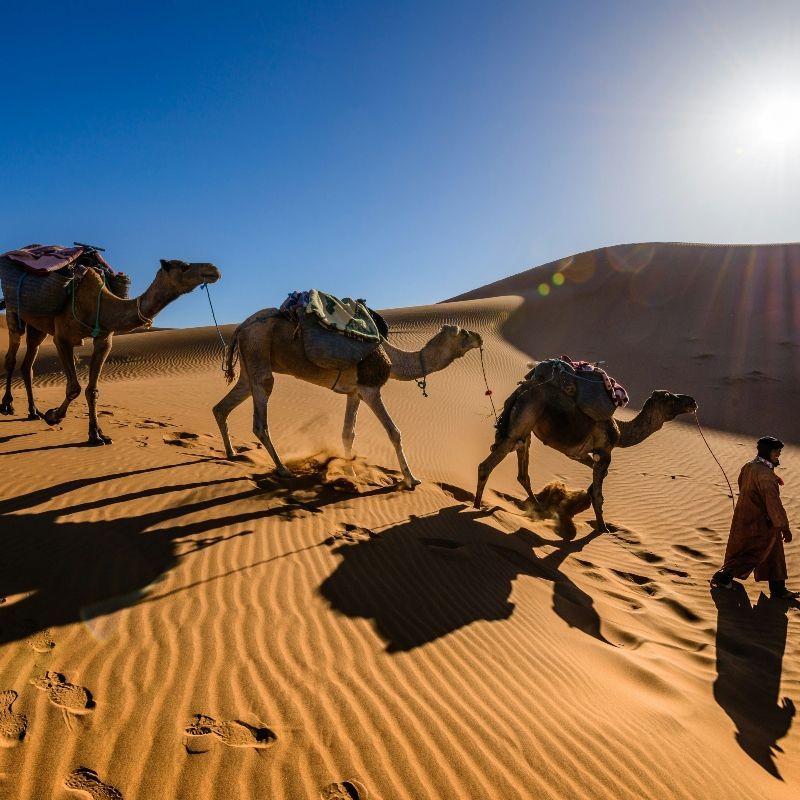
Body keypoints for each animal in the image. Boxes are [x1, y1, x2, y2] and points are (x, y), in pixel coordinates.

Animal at [1, 259, 221, 444]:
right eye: (184, 266)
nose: (213, 269)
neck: (98, 304)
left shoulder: (104, 339)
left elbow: (92, 390)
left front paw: (96, 435)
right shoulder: (62, 338)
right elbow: (74, 388)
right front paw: (53, 416)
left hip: (37, 327)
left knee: (27, 365)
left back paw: (33, 412)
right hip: (14, 312)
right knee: (12, 357)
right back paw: (7, 406)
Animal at [213, 310, 483, 488]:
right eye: (462, 333)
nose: (479, 337)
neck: (393, 358)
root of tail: (241, 327)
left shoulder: (354, 392)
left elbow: (347, 433)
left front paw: (350, 473)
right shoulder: (370, 388)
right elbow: (394, 432)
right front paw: (411, 479)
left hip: (249, 363)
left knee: (223, 406)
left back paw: (232, 454)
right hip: (258, 348)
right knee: (260, 416)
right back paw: (282, 469)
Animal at [474, 363, 697, 531]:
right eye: (669, 398)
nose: (692, 401)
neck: (620, 431)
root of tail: (521, 390)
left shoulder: (580, 453)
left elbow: (599, 477)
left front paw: (585, 499)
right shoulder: (605, 452)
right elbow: (599, 494)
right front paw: (603, 528)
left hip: (525, 431)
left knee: (523, 472)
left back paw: (538, 509)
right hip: (520, 424)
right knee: (487, 466)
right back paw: (476, 506)